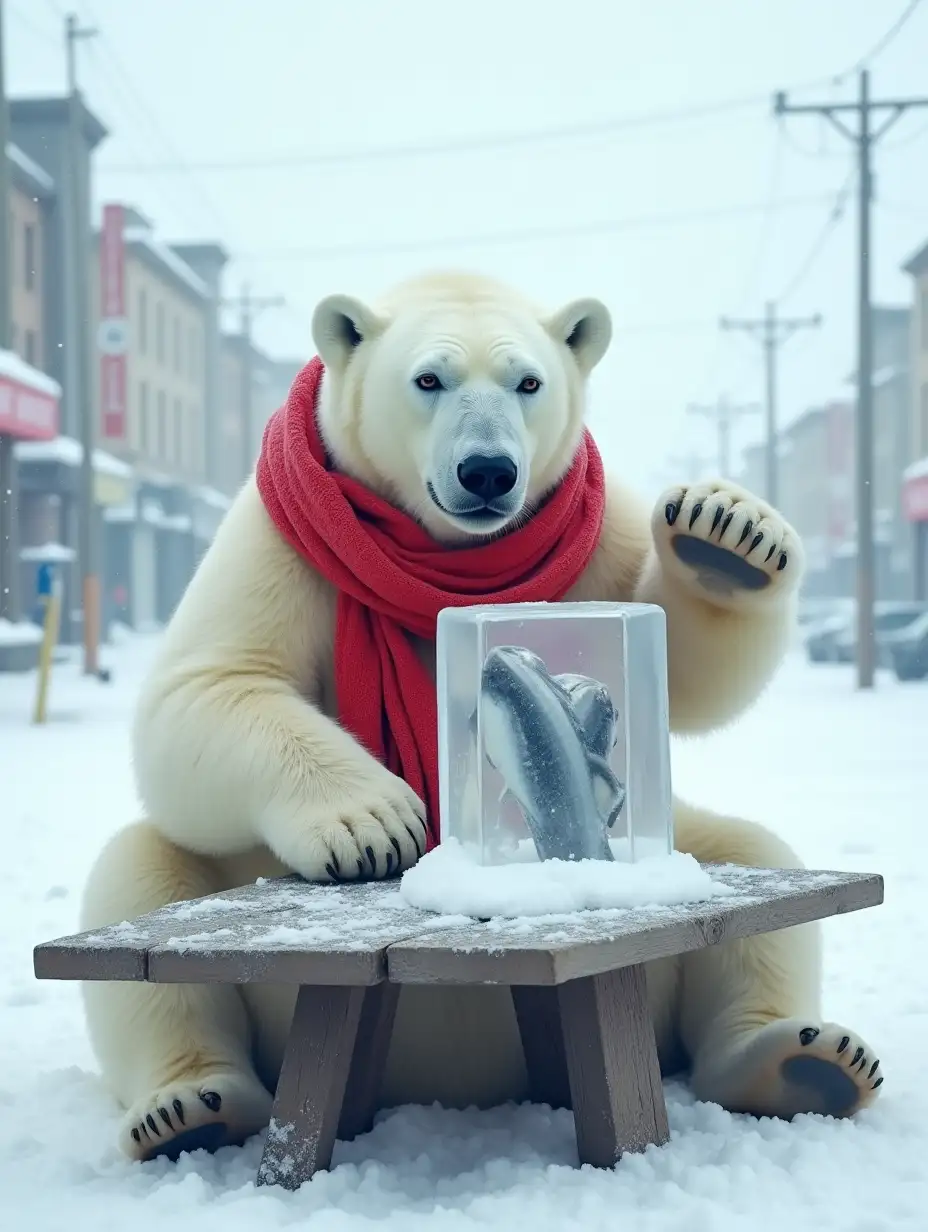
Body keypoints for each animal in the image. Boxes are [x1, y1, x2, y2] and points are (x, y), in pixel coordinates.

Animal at [77, 269, 877, 1163]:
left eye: (528, 382)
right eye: (429, 379)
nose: (489, 470)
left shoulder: (594, 532)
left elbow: (687, 669)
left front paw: (728, 532)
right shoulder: (277, 542)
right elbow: (208, 684)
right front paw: (374, 824)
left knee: (750, 865)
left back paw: (802, 1062)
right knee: (143, 874)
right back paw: (188, 1109)